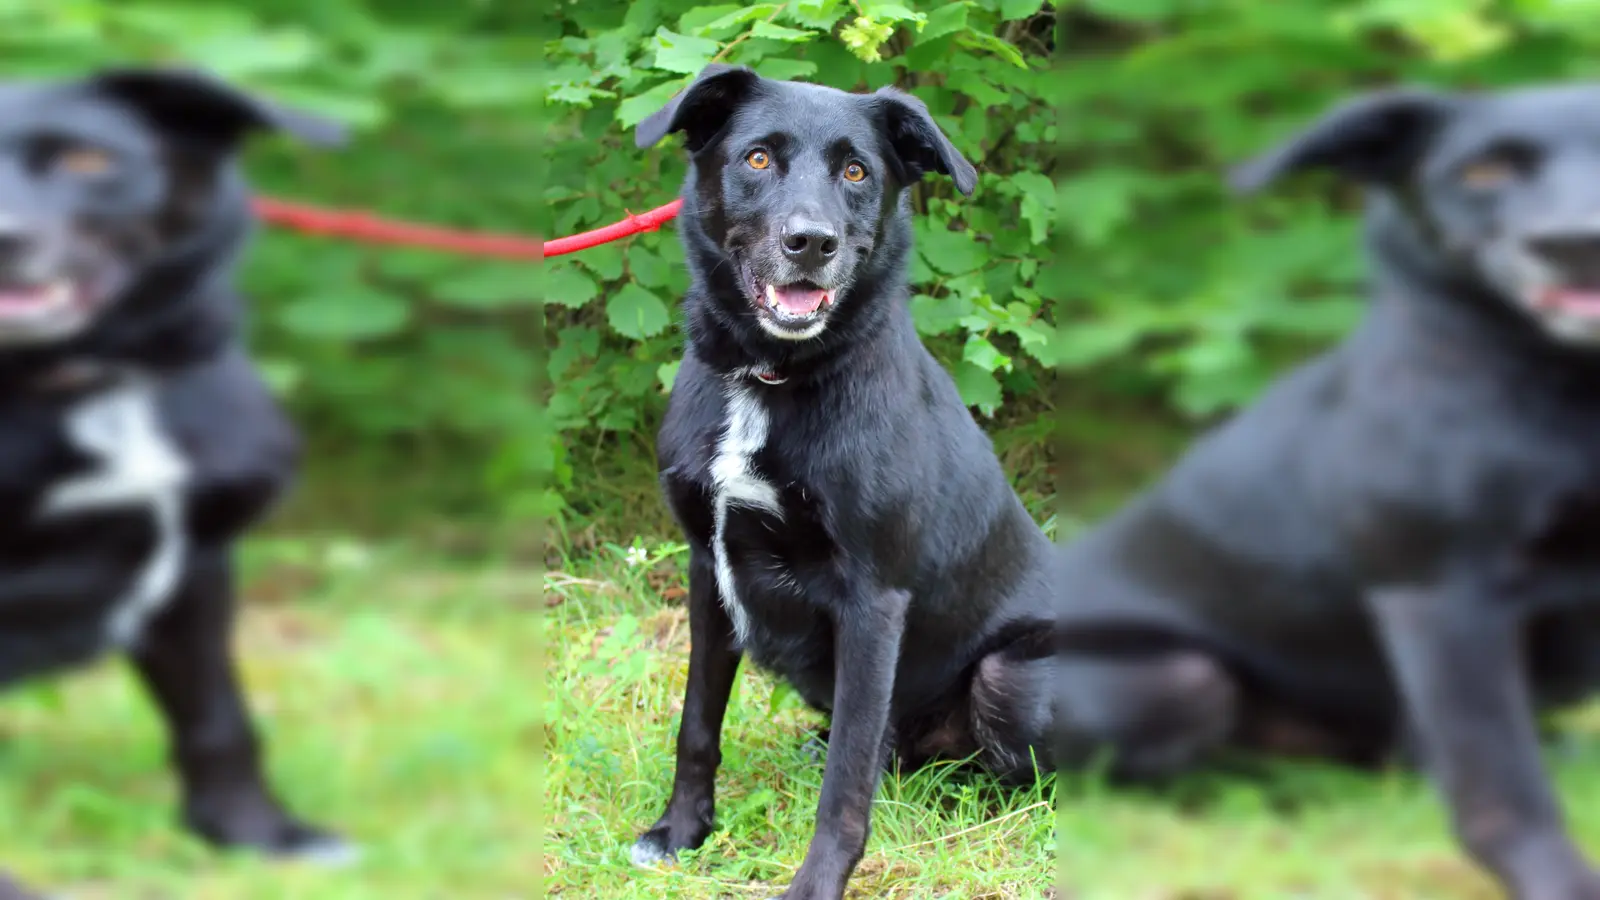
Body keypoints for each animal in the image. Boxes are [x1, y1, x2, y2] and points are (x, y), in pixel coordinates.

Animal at [0, 66, 350, 883]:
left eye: (87, 160)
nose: (2, 238)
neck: (96, 381)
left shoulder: (195, 562)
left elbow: (220, 720)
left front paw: (257, 835)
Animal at [627, 64, 1062, 896]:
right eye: (758, 158)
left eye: (857, 172)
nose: (811, 243)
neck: (770, 378)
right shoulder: (708, 567)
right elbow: (697, 722)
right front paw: (682, 831)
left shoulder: (872, 600)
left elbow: (847, 783)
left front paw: (816, 884)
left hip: (1011, 674)